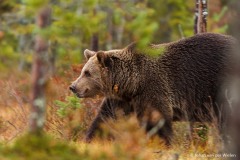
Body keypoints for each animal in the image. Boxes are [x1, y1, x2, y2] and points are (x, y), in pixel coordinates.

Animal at [69, 32, 236, 145]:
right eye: (83, 70)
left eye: (87, 73)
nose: (73, 86)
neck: (133, 82)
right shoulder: (124, 99)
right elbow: (106, 119)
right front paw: (90, 140)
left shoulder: (154, 87)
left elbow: (156, 120)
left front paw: (162, 143)